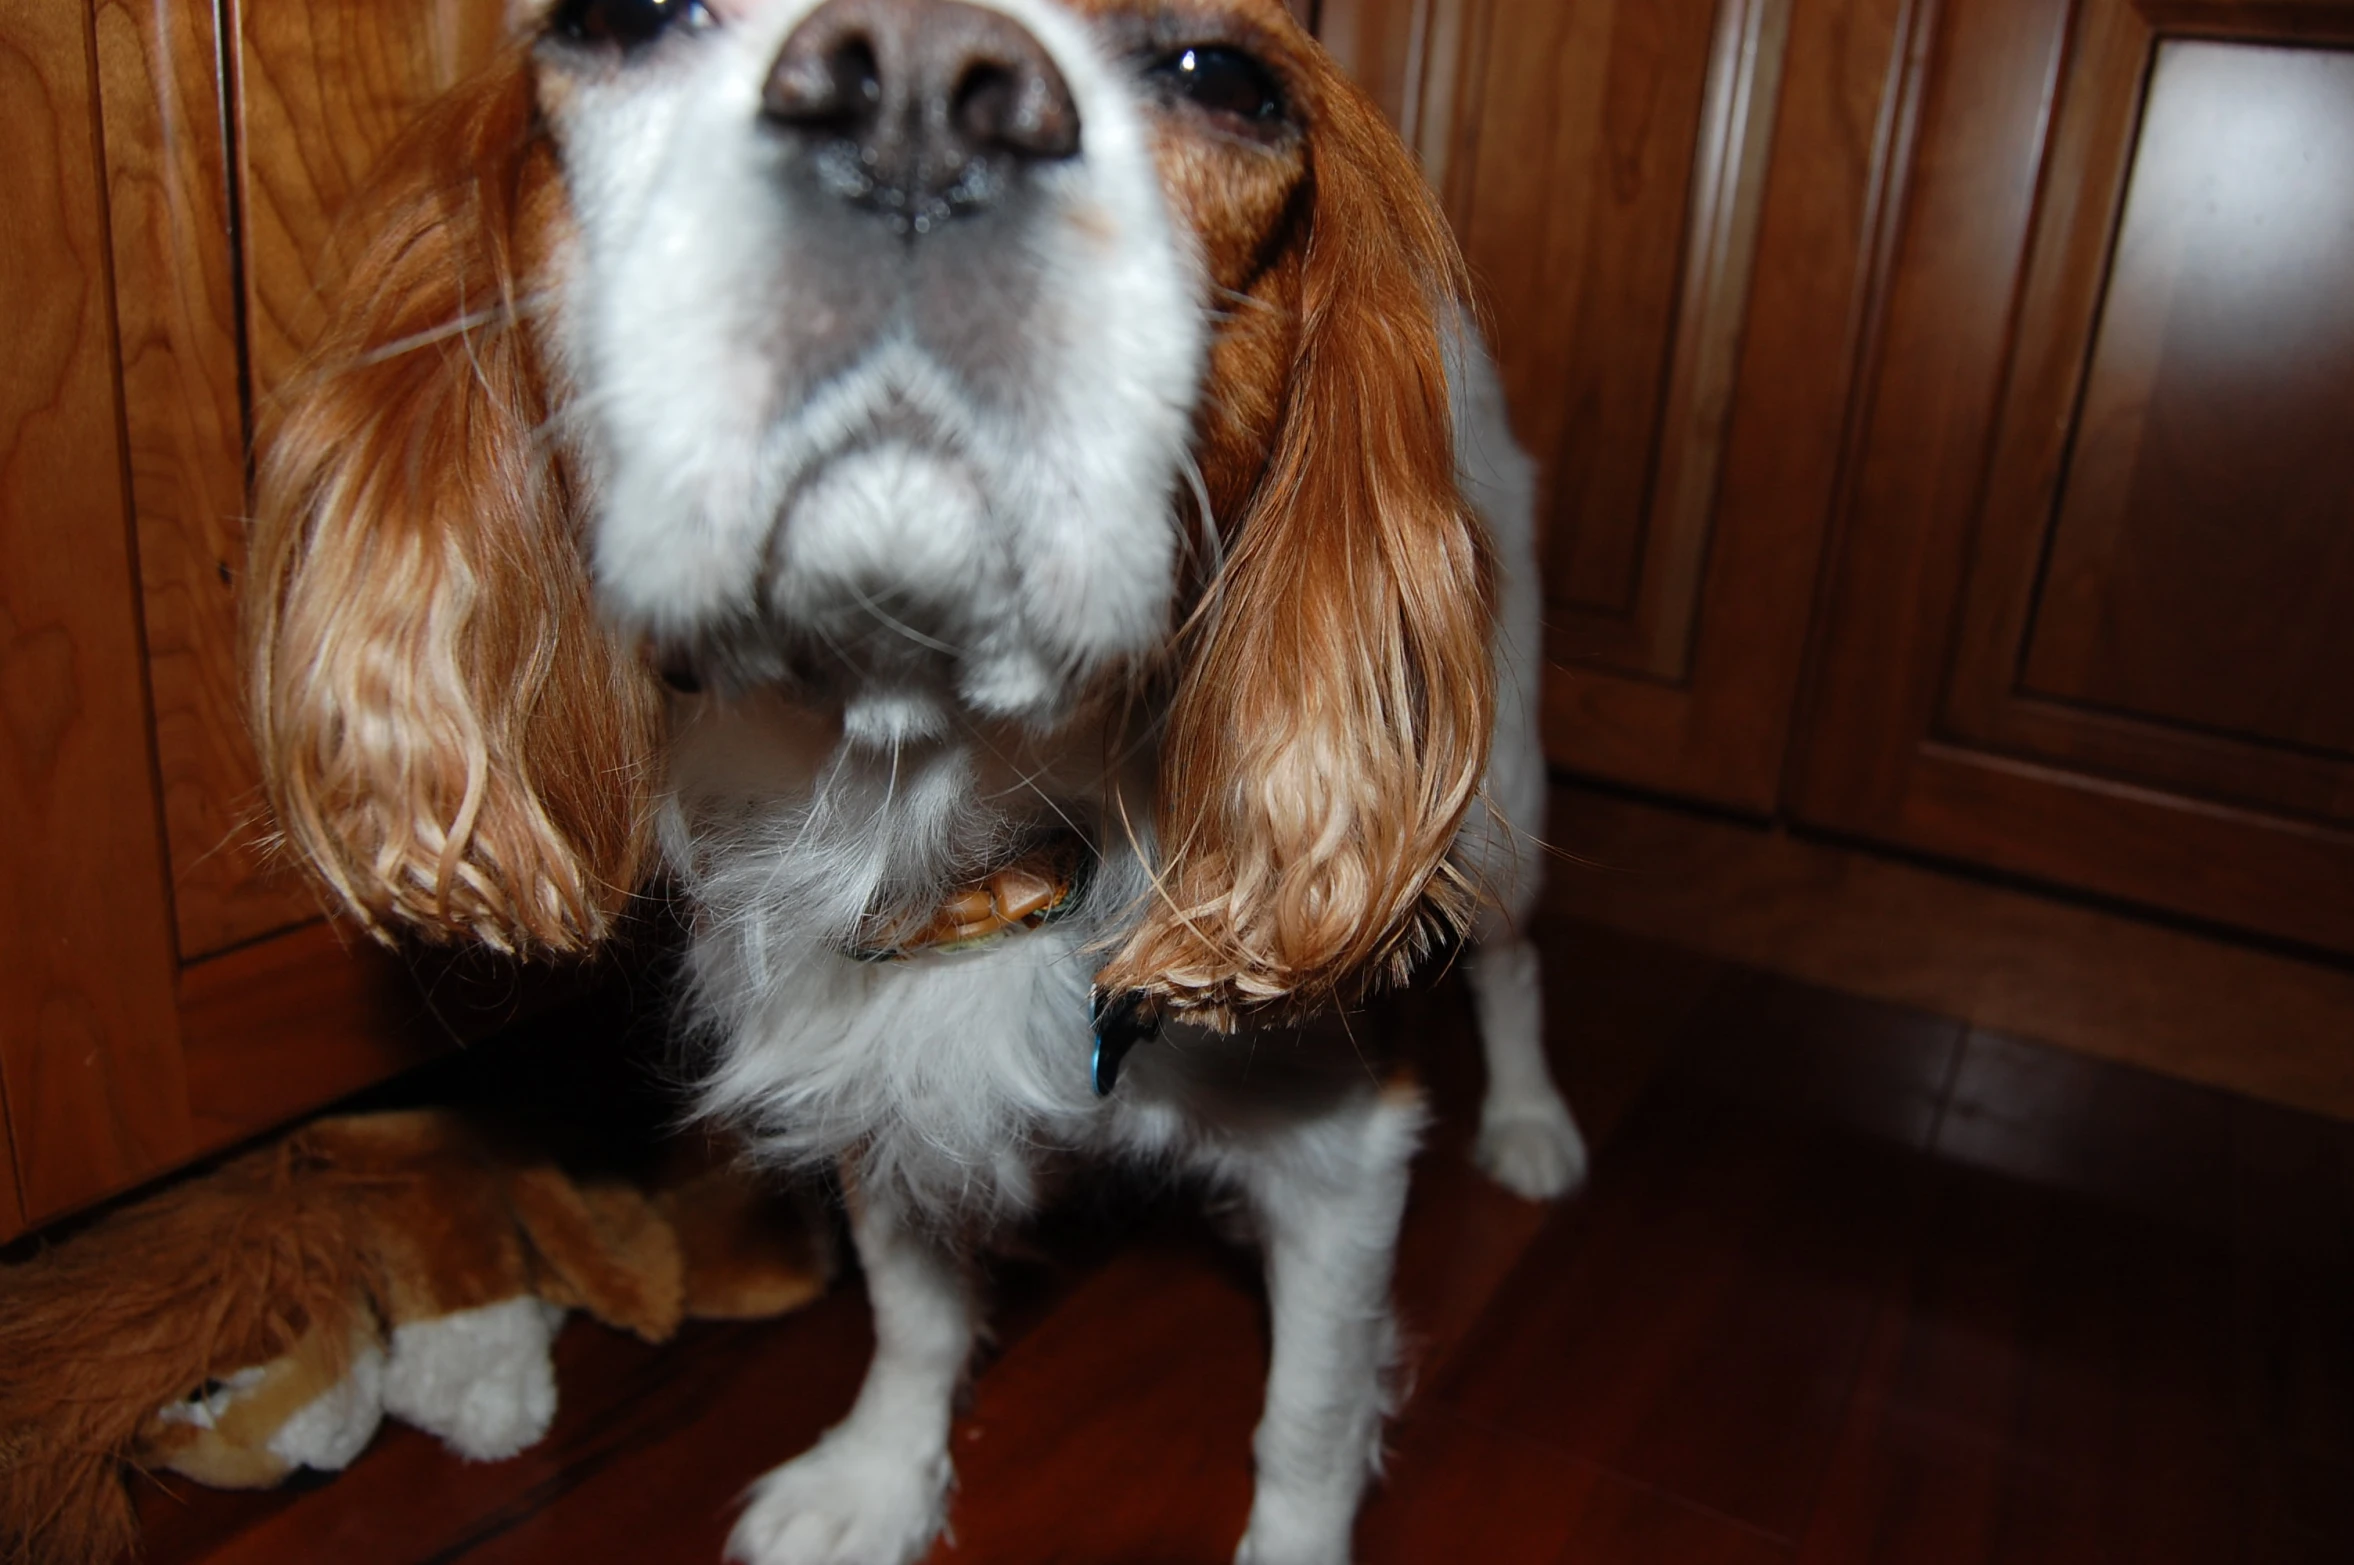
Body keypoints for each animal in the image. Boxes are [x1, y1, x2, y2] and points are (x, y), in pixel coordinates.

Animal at [243, 3, 1581, 1562]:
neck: (940, 802)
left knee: (1513, 959)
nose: (919, 104)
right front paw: (876, 1481)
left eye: (1227, 78)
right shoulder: (877, 1078)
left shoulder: (1343, 1160)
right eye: (615, 20)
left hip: (1506, 787)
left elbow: (1301, 1424)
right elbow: (912, 1312)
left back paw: (1531, 1124)